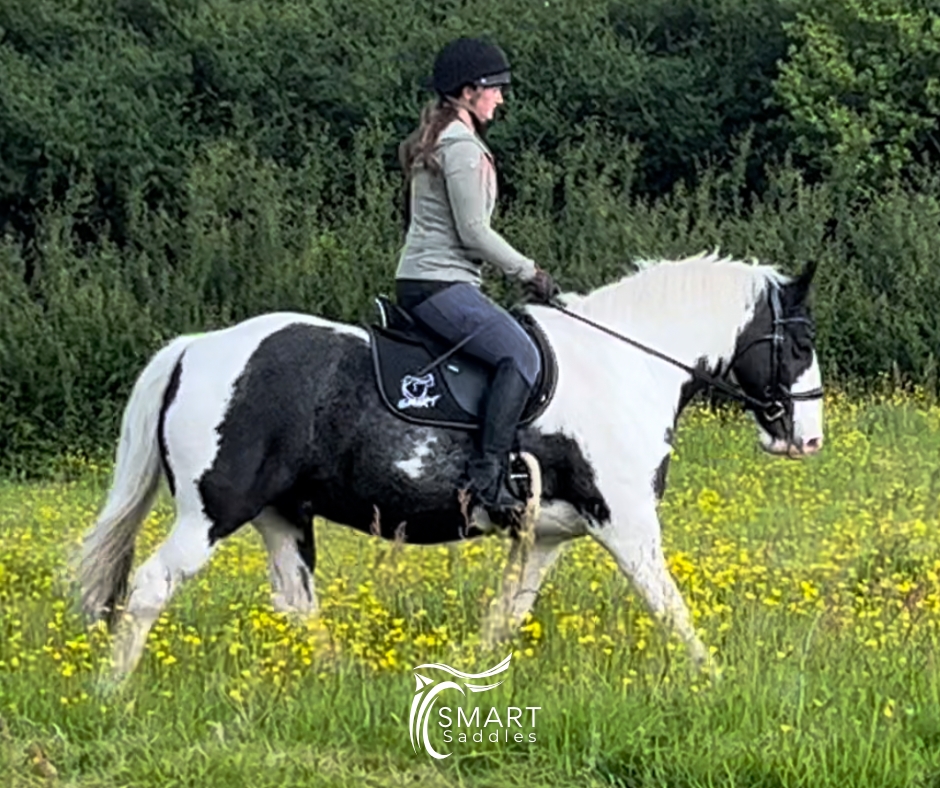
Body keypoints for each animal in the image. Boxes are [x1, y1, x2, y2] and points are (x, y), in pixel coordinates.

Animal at [79, 252, 824, 682]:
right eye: (800, 342)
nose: (810, 440)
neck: (625, 365)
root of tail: (195, 348)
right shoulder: (627, 524)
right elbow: (670, 608)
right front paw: (715, 681)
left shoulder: (546, 535)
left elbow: (506, 617)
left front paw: (462, 674)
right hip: (213, 510)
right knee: (148, 588)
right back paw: (114, 692)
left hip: (282, 514)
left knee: (296, 602)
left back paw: (342, 681)